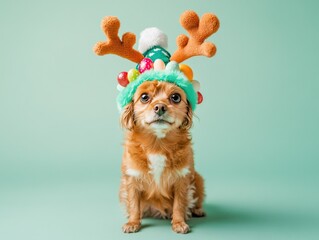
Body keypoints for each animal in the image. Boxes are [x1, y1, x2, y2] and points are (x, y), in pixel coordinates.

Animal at [119, 80, 205, 232]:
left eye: (176, 97)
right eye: (144, 97)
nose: (160, 107)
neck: (157, 145)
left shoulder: (182, 180)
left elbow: (179, 204)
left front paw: (179, 222)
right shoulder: (132, 179)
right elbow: (134, 203)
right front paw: (133, 222)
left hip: (198, 180)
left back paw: (197, 210)